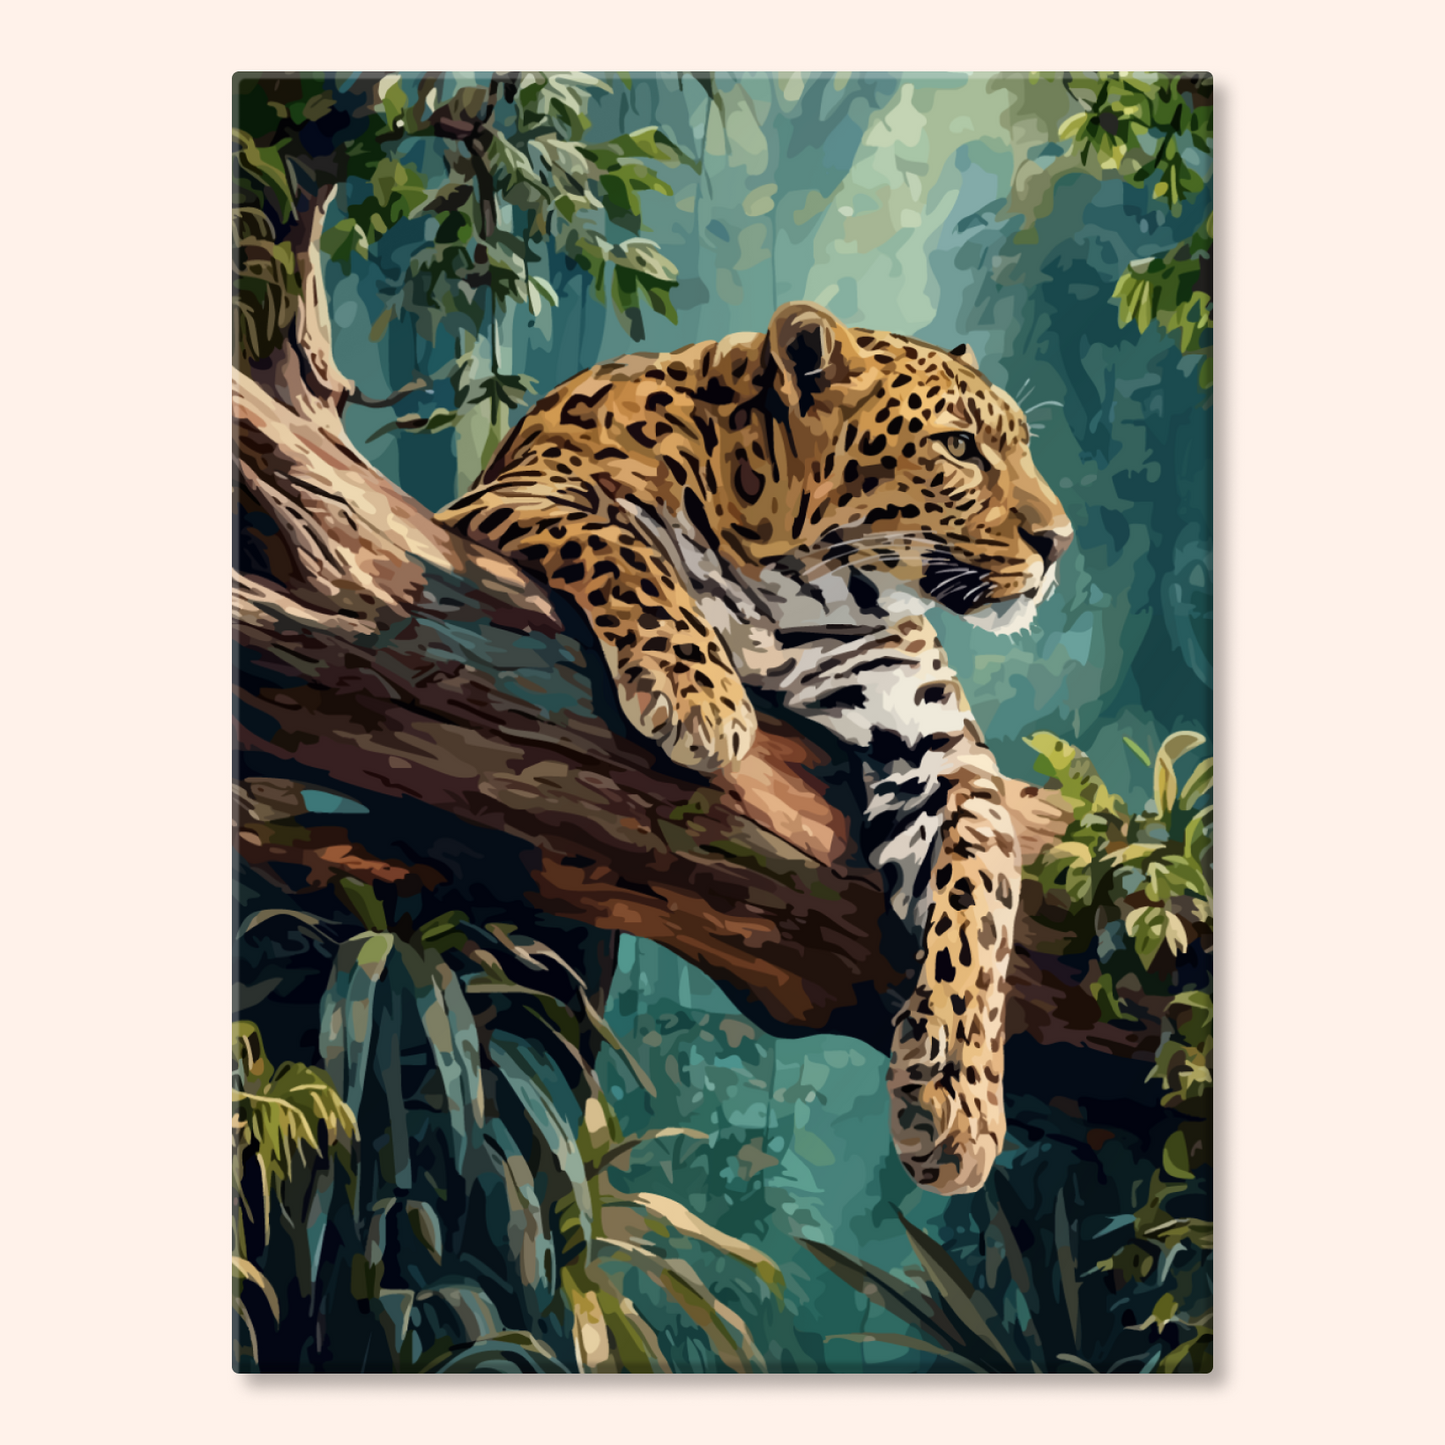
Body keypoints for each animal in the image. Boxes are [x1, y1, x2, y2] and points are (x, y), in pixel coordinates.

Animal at [435, 301, 1073, 1195]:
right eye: (956, 446)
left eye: (1018, 446)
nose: (1059, 541)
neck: (790, 581)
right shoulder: (517, 492)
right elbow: (618, 543)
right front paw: (699, 690)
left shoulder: (943, 754)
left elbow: (983, 906)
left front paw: (959, 1100)